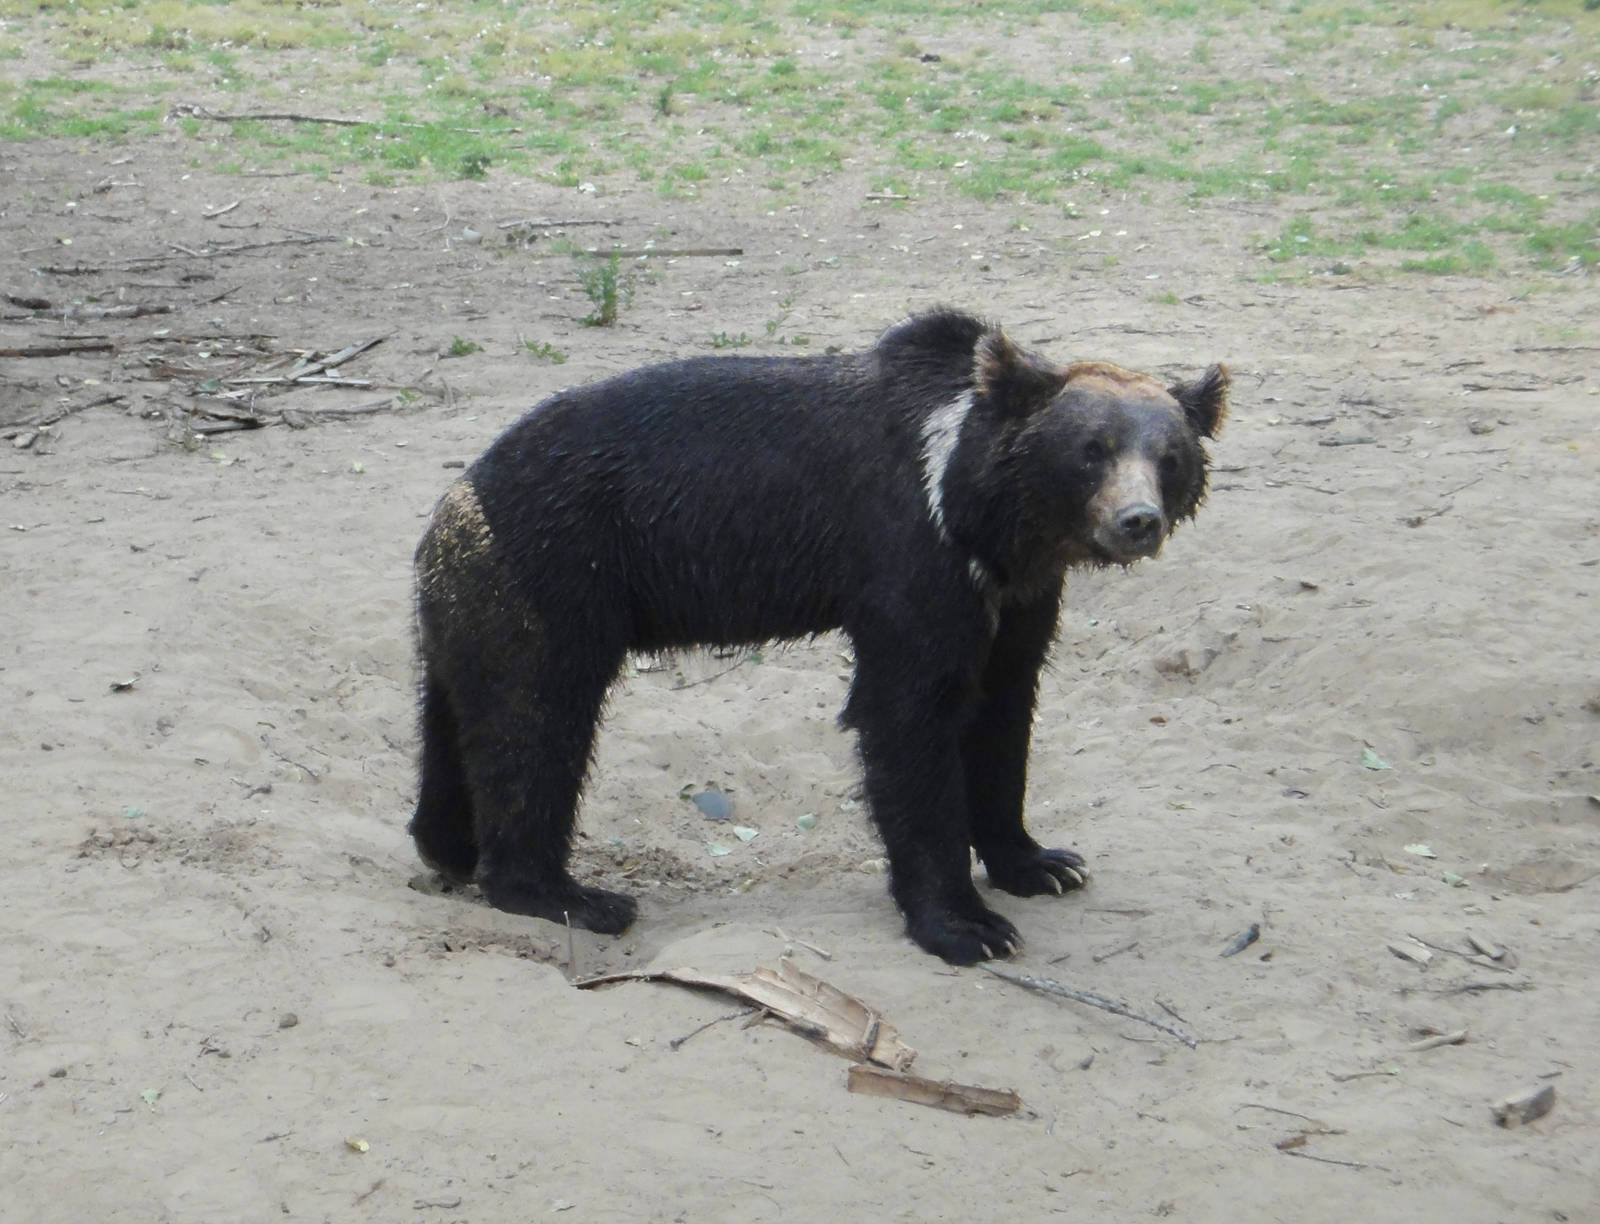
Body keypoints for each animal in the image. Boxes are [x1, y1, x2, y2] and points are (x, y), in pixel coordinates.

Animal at [409, 308, 1228, 965]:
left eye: (1169, 457)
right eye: (1093, 448)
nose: (1138, 521)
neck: (979, 515)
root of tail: (450, 510)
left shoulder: (1019, 598)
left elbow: (1004, 713)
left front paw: (1043, 862)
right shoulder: (908, 556)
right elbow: (909, 717)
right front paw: (966, 924)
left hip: (477, 612)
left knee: (461, 722)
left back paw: (446, 845)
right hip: (555, 583)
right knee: (537, 729)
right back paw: (569, 893)